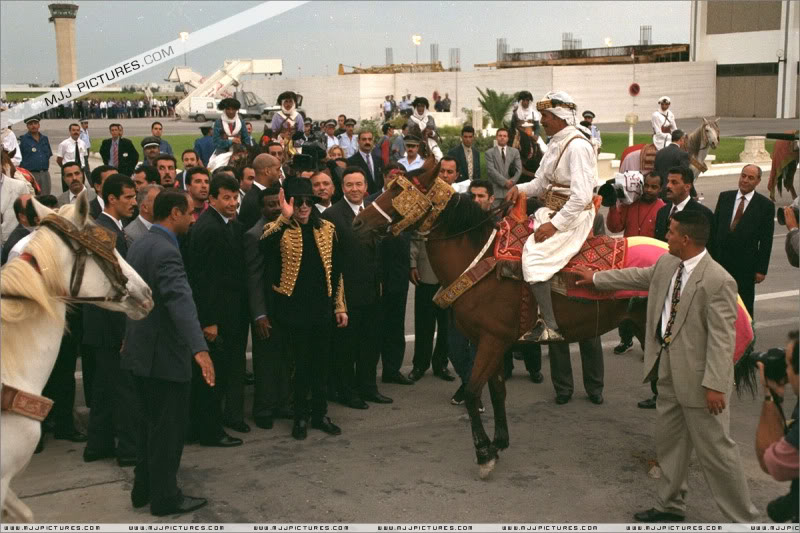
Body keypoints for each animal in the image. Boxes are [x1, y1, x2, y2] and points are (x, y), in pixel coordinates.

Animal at [354, 159, 648, 478]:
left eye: (398, 190)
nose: (358, 222)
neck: (478, 259)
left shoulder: (491, 340)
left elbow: (473, 392)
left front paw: (484, 453)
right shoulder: (494, 342)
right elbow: (496, 391)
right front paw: (499, 442)